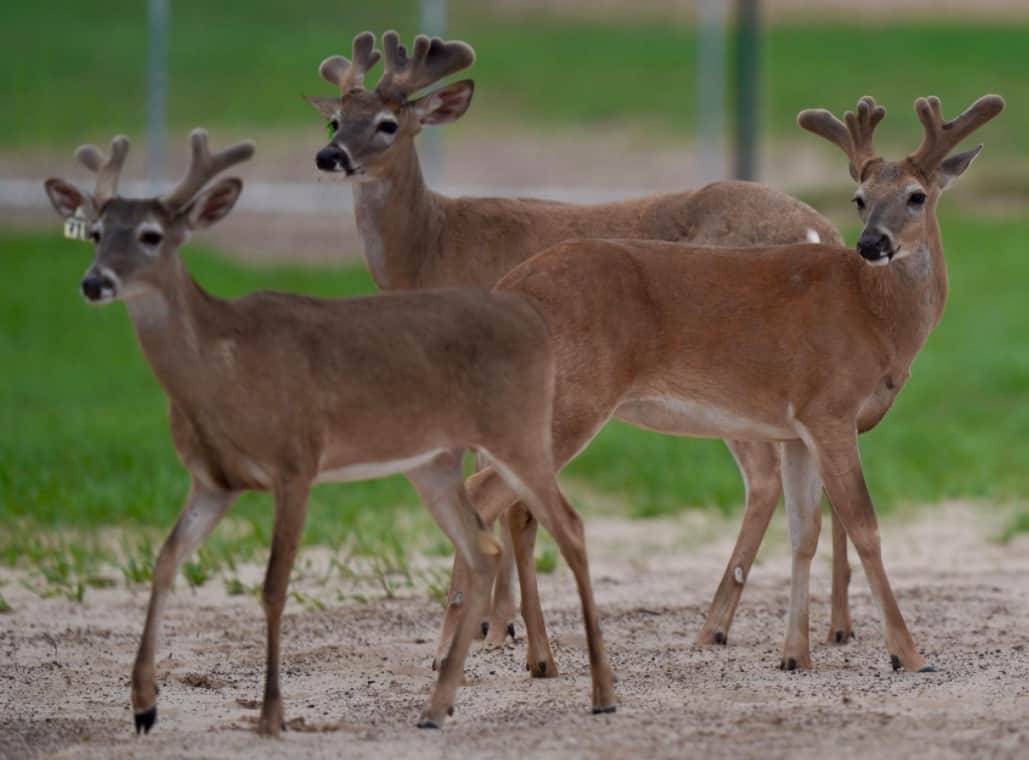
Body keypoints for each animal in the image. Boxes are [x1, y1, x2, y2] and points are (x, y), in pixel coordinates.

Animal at [42, 130, 617, 734]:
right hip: (435, 463)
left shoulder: (295, 463)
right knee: (486, 544)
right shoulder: (211, 481)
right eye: (96, 232)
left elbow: (274, 586)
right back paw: (438, 705)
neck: (225, 370)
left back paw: (598, 691)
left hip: (522, 435)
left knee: (567, 525)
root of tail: (528, 316)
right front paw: (144, 705)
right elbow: (164, 562)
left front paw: (271, 715)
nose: (94, 282)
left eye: (152, 235)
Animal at [306, 30, 856, 671]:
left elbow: (504, 503)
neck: (431, 248)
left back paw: (723, 626)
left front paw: (494, 630)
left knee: (767, 478)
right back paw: (829, 626)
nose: (330, 157)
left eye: (388, 123)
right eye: (335, 120)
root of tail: (823, 230)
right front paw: (500, 628)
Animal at [448, 93, 1003, 674]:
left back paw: (509, 655)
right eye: (860, 198)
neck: (875, 315)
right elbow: (865, 525)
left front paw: (795, 655)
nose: (872, 243)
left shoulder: (796, 427)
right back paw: (496, 654)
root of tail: (509, 286)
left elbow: (804, 532)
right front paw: (908, 653)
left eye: (917, 196)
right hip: (572, 399)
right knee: (484, 494)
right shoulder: (830, 407)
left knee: (500, 503)